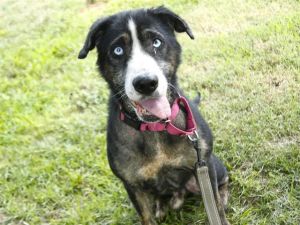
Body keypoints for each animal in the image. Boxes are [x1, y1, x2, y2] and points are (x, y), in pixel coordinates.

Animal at [79, 6, 230, 224]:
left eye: (156, 42)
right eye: (118, 50)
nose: (146, 83)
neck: (155, 127)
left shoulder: (203, 164)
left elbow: (216, 208)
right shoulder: (133, 186)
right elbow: (146, 216)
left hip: (212, 168)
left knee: (223, 181)